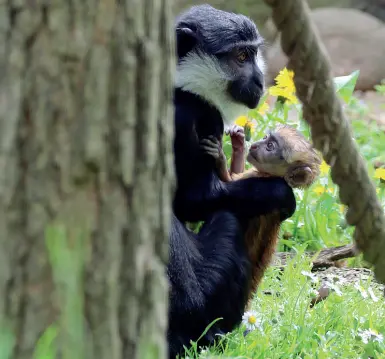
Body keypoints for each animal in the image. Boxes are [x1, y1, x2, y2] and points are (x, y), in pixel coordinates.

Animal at [166, 4, 296, 358]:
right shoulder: (194, 115)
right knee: (228, 219)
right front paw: (280, 192)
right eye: (240, 57)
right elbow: (196, 201)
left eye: (252, 54)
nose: (260, 80)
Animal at [201, 125, 320, 306]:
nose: (256, 145)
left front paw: (220, 157)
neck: (270, 176)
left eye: (270, 146)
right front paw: (238, 143)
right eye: (265, 138)